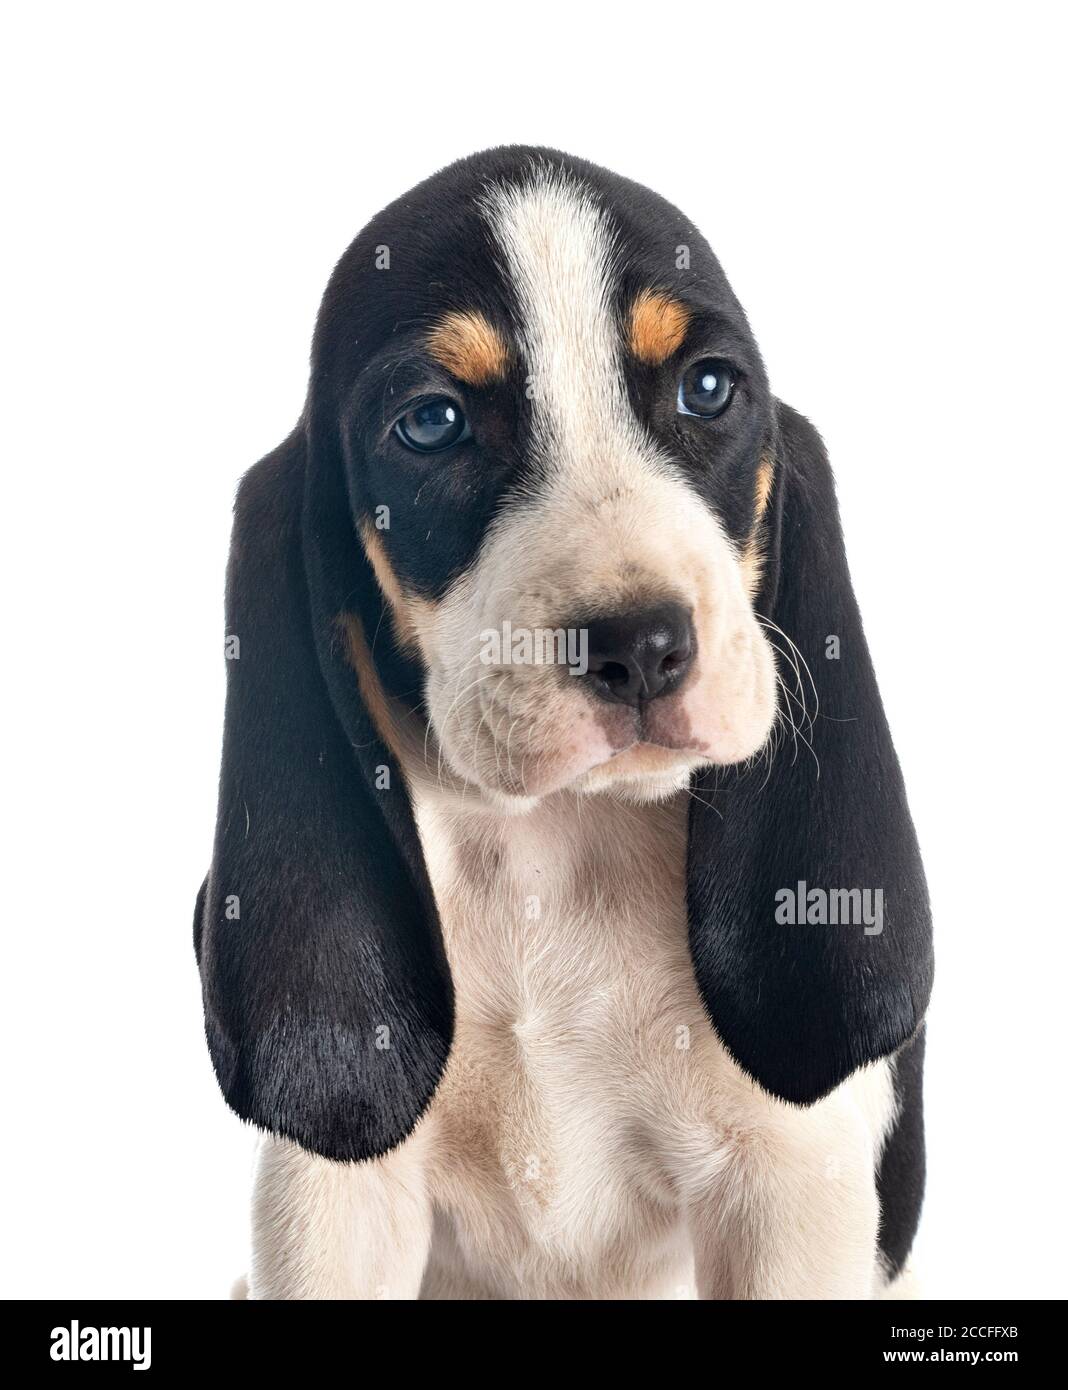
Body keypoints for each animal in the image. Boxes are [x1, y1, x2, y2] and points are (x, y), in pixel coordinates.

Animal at [196, 146, 928, 1295]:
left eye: (708, 388)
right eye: (432, 422)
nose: (642, 645)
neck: (555, 847)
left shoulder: (790, 1187)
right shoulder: (333, 1207)